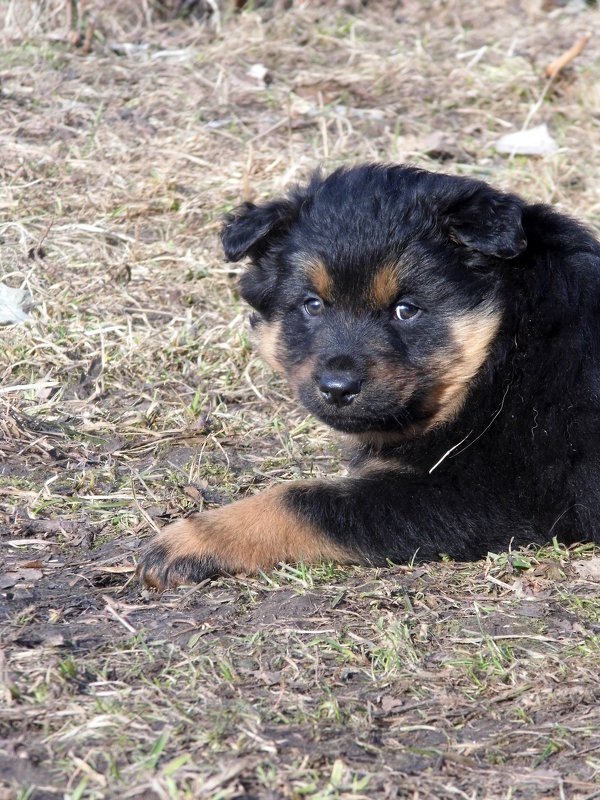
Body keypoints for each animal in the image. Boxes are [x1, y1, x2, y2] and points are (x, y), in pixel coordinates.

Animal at [136, 164, 600, 588]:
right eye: (312, 304)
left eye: (406, 309)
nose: (337, 389)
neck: (509, 345)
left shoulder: (486, 494)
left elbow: (306, 499)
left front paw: (192, 539)